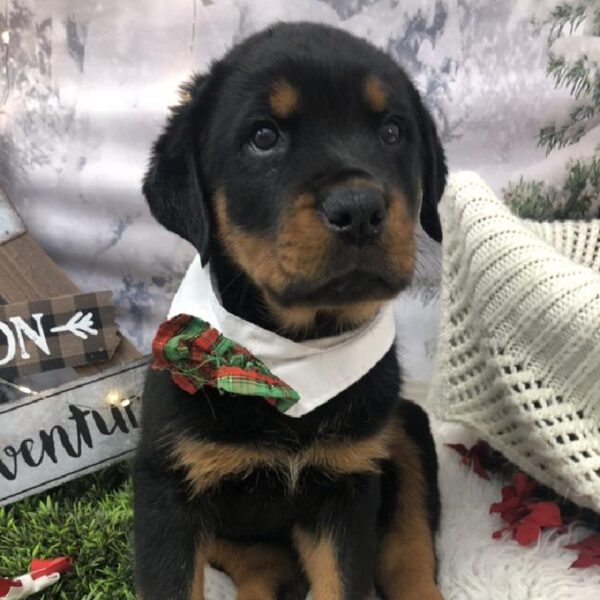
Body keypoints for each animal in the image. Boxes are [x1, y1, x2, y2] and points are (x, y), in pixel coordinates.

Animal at [135, 21, 446, 596]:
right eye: (263, 137)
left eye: (393, 132)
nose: (360, 210)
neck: (293, 356)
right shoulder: (167, 486)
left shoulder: (347, 484)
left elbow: (346, 579)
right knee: (258, 562)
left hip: (405, 425)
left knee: (409, 545)